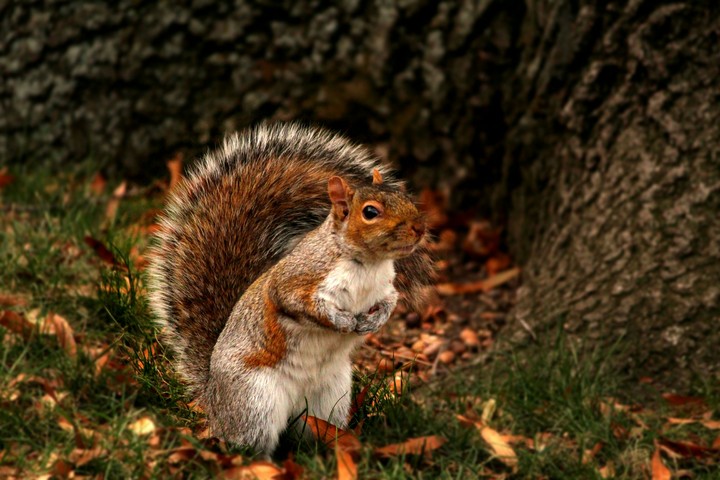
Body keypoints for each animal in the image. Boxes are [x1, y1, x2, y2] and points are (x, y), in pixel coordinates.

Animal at [147, 123, 433, 455]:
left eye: (404, 198)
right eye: (370, 213)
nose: (419, 228)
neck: (369, 264)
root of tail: (214, 399)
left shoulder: (385, 288)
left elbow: (390, 301)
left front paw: (375, 321)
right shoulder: (298, 279)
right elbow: (299, 303)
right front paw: (342, 321)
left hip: (330, 398)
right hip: (255, 401)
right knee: (249, 440)